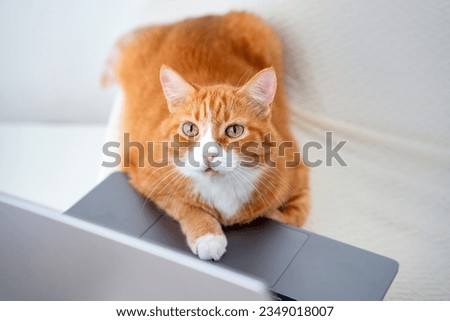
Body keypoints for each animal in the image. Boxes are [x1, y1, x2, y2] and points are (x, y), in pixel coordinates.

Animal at [109, 11, 310, 260]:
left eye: (234, 130)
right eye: (190, 129)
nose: (209, 154)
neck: (223, 189)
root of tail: (199, 17)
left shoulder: (298, 176)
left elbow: (288, 217)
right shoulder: (145, 177)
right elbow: (187, 206)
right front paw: (208, 237)